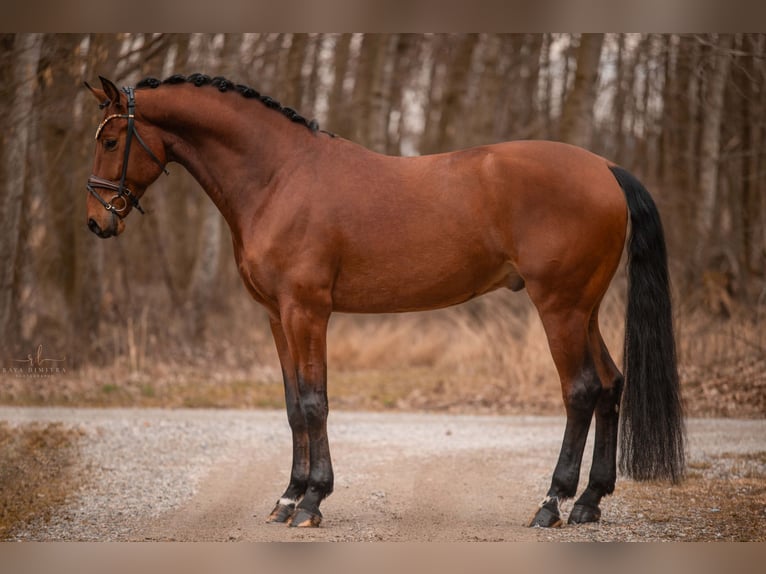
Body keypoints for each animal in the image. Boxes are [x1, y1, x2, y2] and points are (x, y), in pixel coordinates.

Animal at [85, 75, 688, 532]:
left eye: (111, 142)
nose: (96, 221)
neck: (279, 176)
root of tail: (605, 168)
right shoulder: (277, 316)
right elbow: (292, 405)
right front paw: (287, 498)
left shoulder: (307, 311)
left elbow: (314, 403)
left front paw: (312, 501)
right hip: (584, 309)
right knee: (610, 385)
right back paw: (589, 503)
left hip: (559, 307)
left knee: (581, 391)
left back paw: (552, 504)